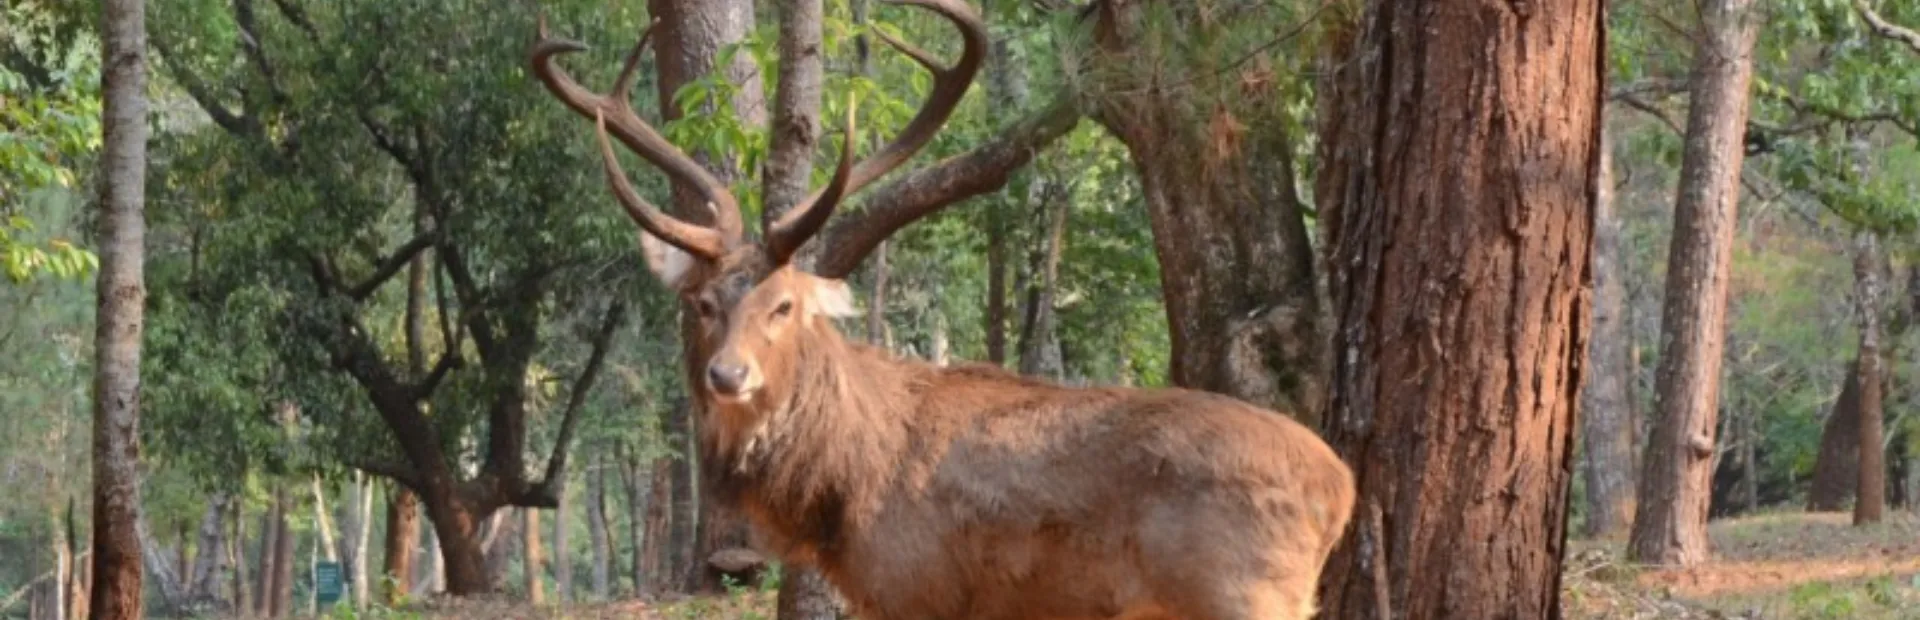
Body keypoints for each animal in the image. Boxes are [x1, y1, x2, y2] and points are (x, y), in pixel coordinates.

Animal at [533, 2, 1359, 618]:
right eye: (703, 301)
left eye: (784, 305)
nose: (727, 377)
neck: (842, 491)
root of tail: (1341, 488)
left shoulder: (919, 588)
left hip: (1243, 592)